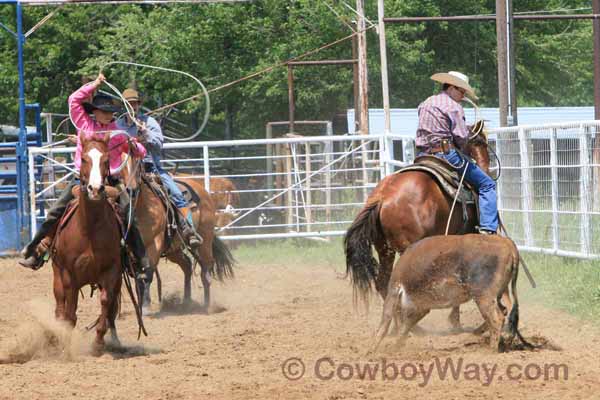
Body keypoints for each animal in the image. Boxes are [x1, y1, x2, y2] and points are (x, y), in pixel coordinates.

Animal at [50, 133, 125, 348]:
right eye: (83, 159)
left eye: (106, 160)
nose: (95, 189)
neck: (89, 229)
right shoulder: (69, 275)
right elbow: (70, 312)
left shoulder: (112, 270)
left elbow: (106, 301)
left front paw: (99, 340)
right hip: (57, 272)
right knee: (60, 304)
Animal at [123, 157, 233, 312]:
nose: (130, 190)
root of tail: (202, 191)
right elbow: (138, 276)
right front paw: (140, 305)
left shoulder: (154, 244)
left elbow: (147, 273)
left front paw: (145, 306)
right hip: (173, 249)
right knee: (187, 265)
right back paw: (186, 301)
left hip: (204, 241)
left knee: (205, 272)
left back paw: (207, 305)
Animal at [342, 136, 492, 330]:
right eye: (480, 141)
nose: (486, 167)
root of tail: (383, 197)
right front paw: (455, 321)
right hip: (408, 249)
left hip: (384, 248)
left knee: (384, 282)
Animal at [370, 234, 528, 354]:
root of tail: (506, 243)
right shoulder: (420, 307)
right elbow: (405, 326)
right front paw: (396, 346)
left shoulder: (394, 291)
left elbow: (385, 321)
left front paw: (371, 351)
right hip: (499, 293)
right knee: (507, 311)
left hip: (484, 296)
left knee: (496, 318)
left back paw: (491, 349)